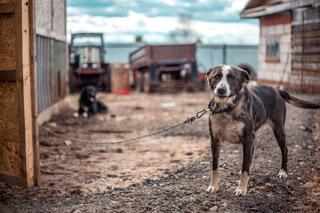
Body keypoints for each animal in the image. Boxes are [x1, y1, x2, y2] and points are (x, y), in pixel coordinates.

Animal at [205, 64, 320, 196]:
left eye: (232, 78)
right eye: (216, 76)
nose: (221, 90)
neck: (227, 108)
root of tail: (277, 90)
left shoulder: (248, 139)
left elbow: (245, 168)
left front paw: (241, 189)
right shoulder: (215, 140)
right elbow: (215, 167)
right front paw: (213, 186)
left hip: (278, 129)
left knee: (284, 150)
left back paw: (283, 172)